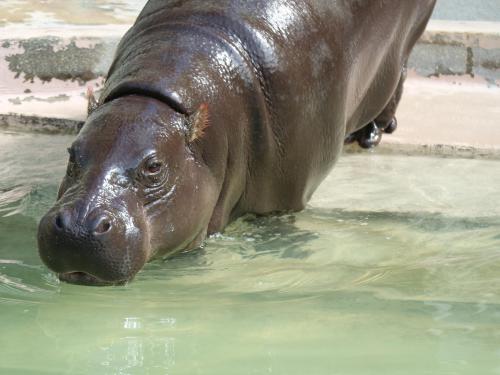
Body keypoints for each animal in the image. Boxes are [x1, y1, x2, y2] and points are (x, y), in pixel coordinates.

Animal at [37, 0, 436, 286]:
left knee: (397, 79)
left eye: (154, 167)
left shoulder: (286, 199)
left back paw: (370, 134)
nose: (77, 228)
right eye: (72, 154)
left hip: (405, 46)